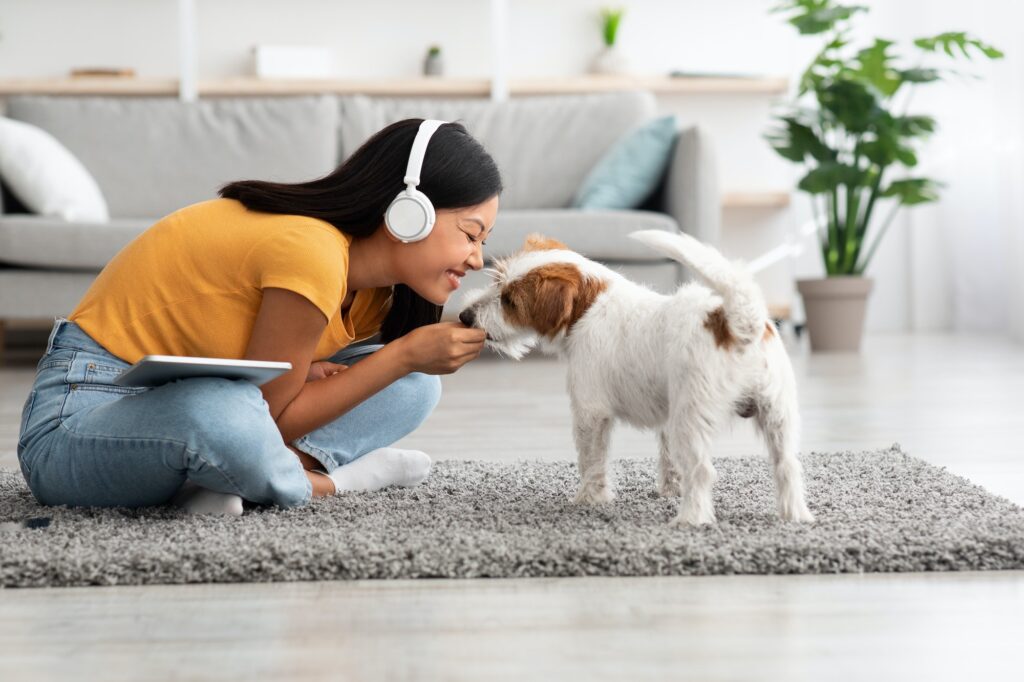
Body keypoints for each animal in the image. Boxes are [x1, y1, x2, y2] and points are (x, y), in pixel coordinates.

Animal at [456, 231, 815, 522]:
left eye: (510, 301)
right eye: (497, 281)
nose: (465, 316)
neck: (589, 305)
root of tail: (739, 324)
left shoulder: (590, 413)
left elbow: (591, 460)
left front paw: (589, 499)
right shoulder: (666, 417)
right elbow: (668, 459)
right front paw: (668, 490)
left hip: (693, 420)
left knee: (702, 471)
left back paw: (691, 519)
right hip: (778, 416)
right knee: (788, 466)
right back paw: (795, 515)